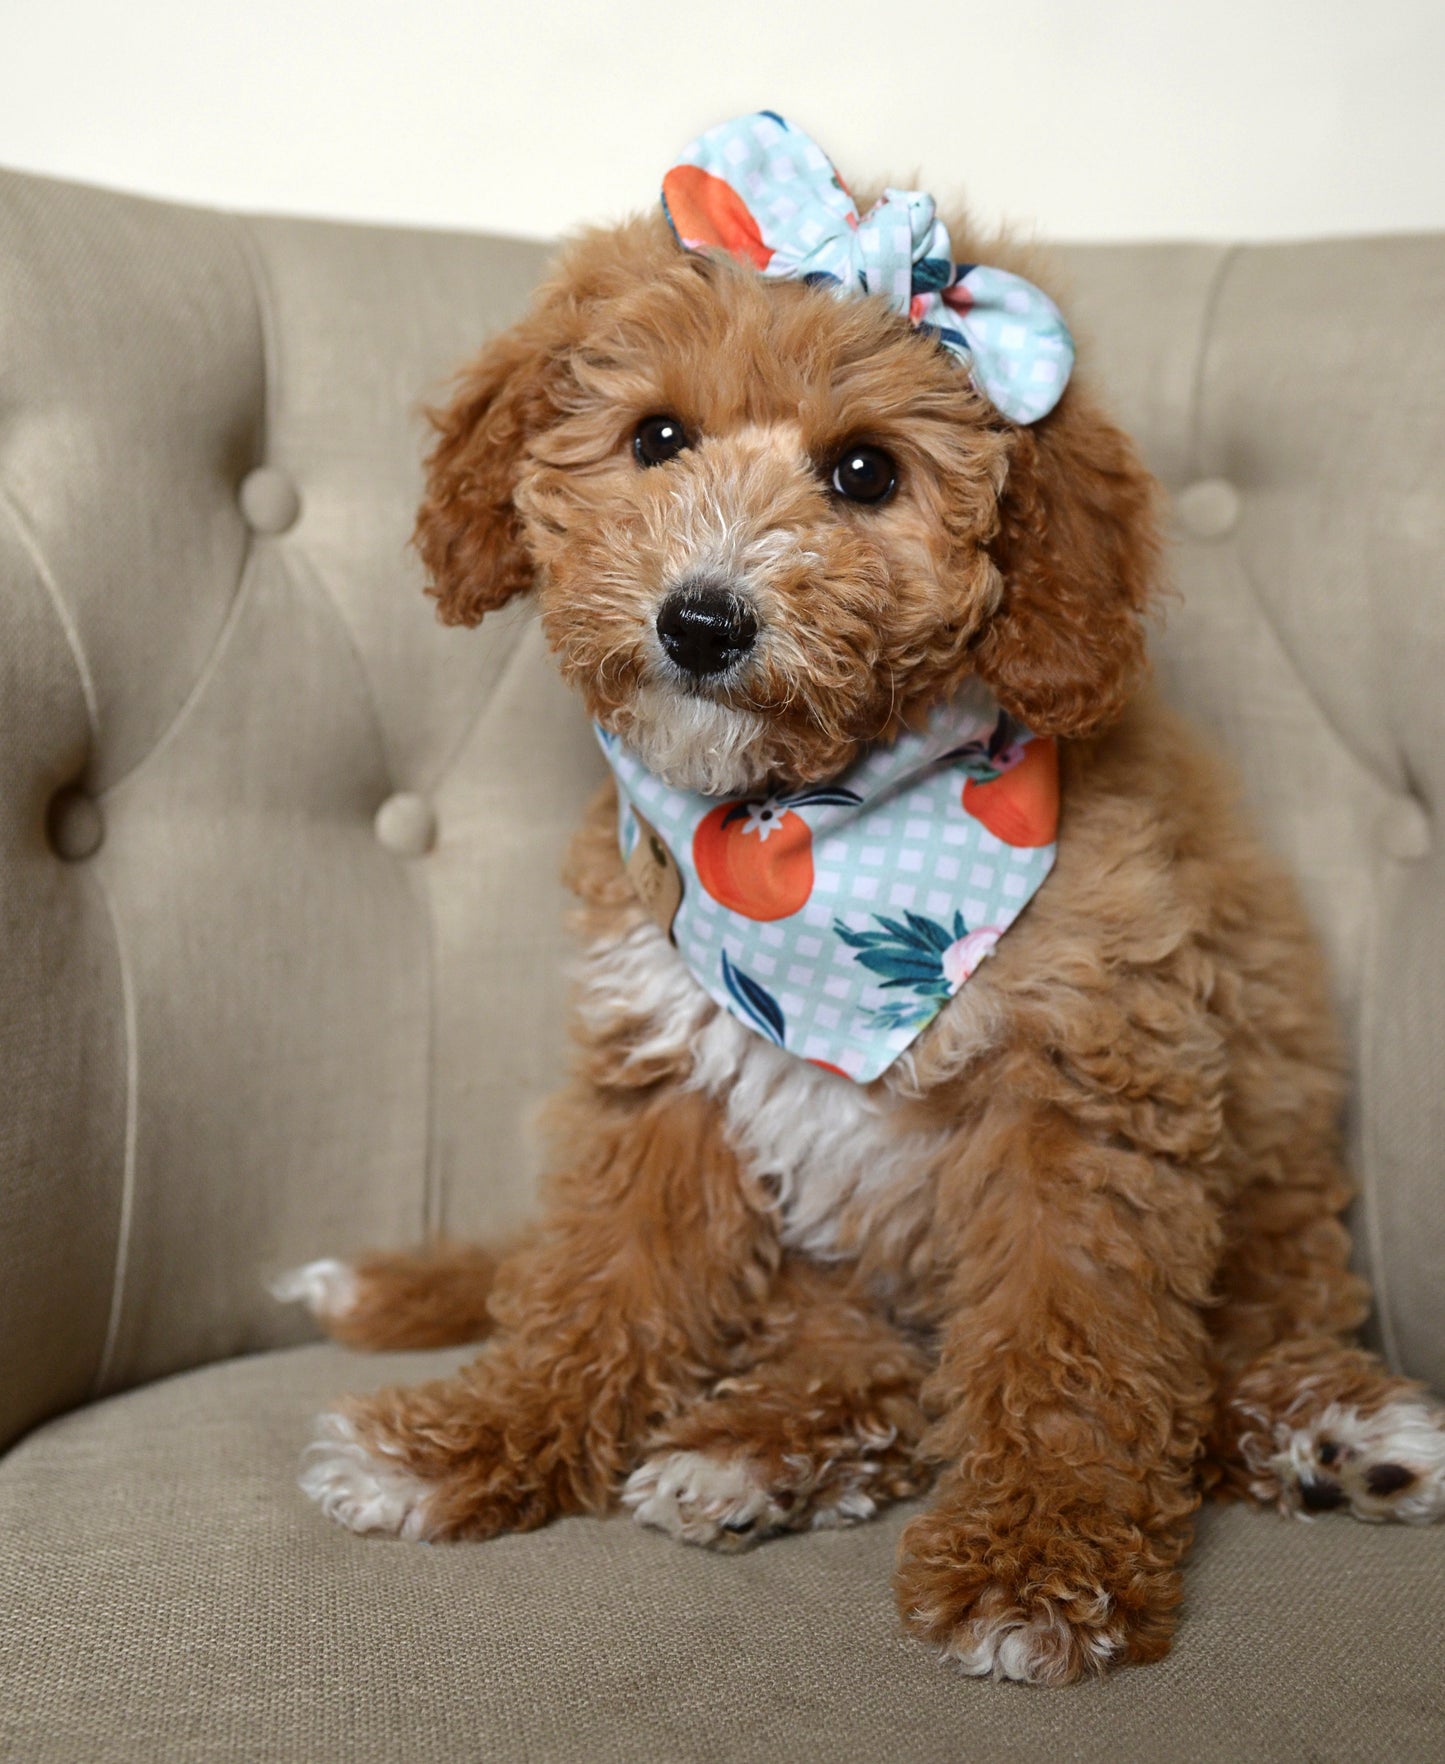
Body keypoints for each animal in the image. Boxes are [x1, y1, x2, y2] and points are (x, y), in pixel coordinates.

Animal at [285, 110, 1445, 1679]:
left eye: (863, 474)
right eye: (656, 439)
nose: (702, 620)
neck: (806, 831)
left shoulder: (1079, 1104)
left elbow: (1069, 1349)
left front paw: (1038, 1565)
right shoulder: (670, 1075)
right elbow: (597, 1284)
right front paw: (472, 1437)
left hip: (1267, 1182)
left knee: (1244, 1340)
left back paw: (1334, 1426)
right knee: (856, 1364)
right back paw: (749, 1450)